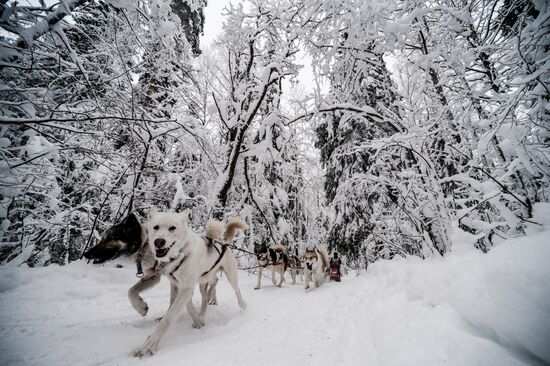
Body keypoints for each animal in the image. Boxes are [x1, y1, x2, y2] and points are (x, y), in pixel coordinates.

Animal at [134, 209, 248, 358]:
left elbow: (168, 318)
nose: (158, 241)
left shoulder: (187, 287)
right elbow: (181, 305)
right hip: (203, 280)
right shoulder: (177, 284)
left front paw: (148, 345)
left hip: (230, 275)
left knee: (236, 289)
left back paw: (242, 305)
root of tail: (222, 243)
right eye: (156, 227)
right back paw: (207, 303)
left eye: (172, 228)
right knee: (210, 288)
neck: (181, 254)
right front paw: (197, 319)